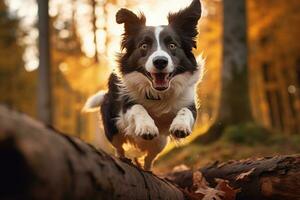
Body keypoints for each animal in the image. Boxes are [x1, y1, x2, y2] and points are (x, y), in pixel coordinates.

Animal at [83, 0, 203, 170]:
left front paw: (180, 126)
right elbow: (138, 108)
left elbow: (186, 111)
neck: (158, 95)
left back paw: (147, 168)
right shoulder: (126, 107)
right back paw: (124, 158)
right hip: (112, 129)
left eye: (172, 45)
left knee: (150, 157)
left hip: (161, 142)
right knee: (118, 147)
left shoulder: (188, 101)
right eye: (144, 46)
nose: (160, 61)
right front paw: (147, 127)